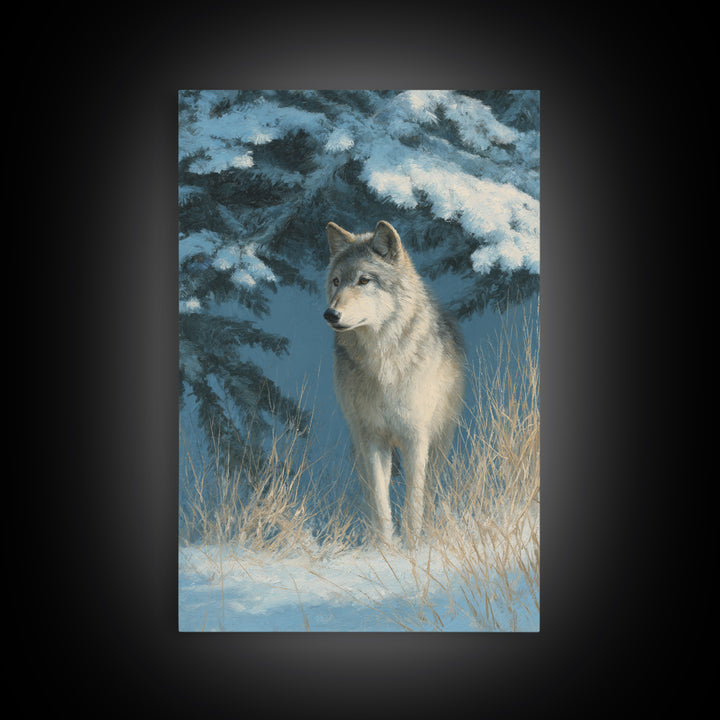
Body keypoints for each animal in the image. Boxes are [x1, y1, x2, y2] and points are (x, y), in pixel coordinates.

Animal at [323, 220, 466, 546]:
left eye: (364, 280)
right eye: (336, 281)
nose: (330, 313)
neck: (383, 362)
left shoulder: (415, 437)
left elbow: (414, 501)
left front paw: (413, 546)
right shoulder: (373, 438)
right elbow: (380, 500)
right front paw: (385, 547)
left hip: (440, 441)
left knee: (432, 489)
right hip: (358, 442)